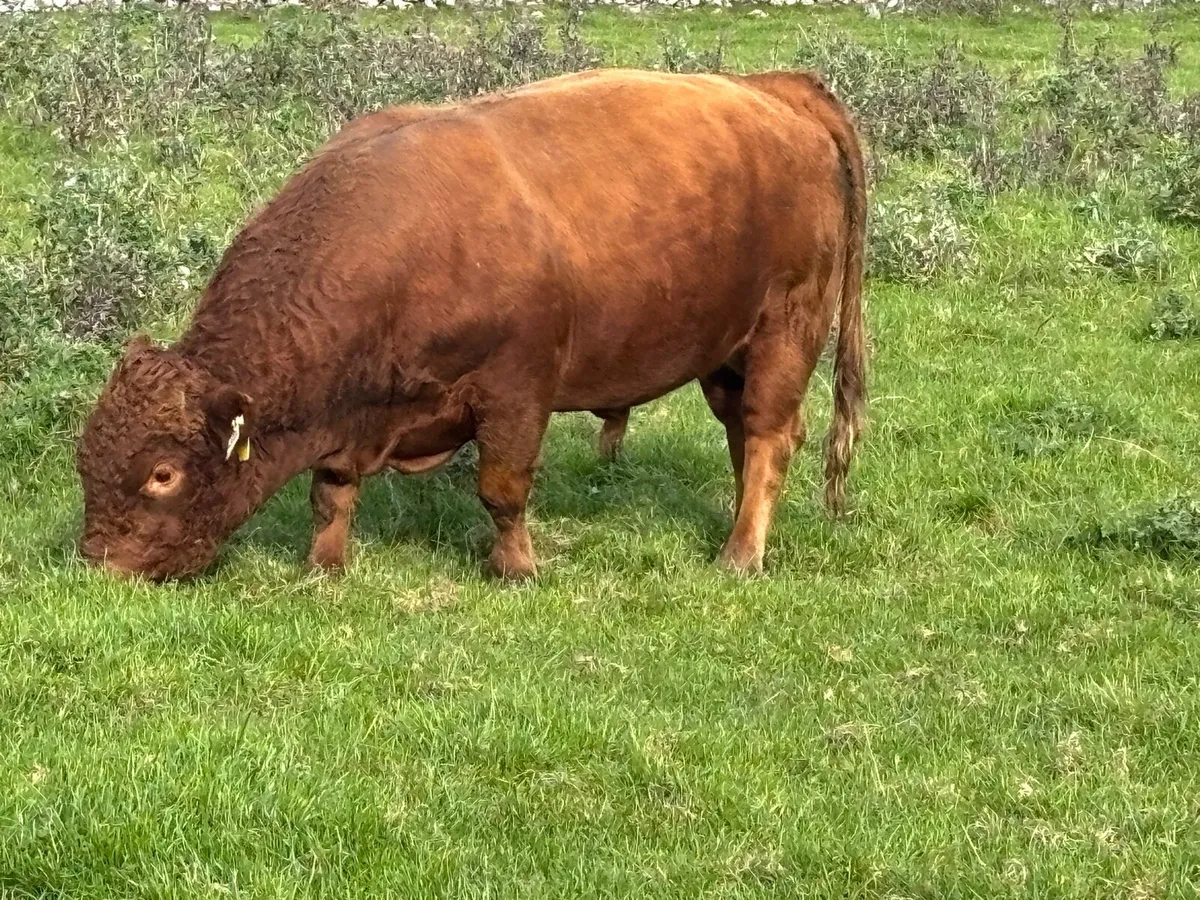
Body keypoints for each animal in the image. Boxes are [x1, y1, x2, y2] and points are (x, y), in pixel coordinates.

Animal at [76, 67, 867, 582]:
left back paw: (740, 555)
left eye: (163, 473)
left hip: (785, 332)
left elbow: (502, 488)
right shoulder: (351, 414)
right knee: (745, 436)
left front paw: (515, 568)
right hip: (725, 355)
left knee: (768, 438)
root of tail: (777, 89)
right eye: (86, 458)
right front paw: (324, 566)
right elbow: (330, 491)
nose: (101, 566)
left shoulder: (515, 391)